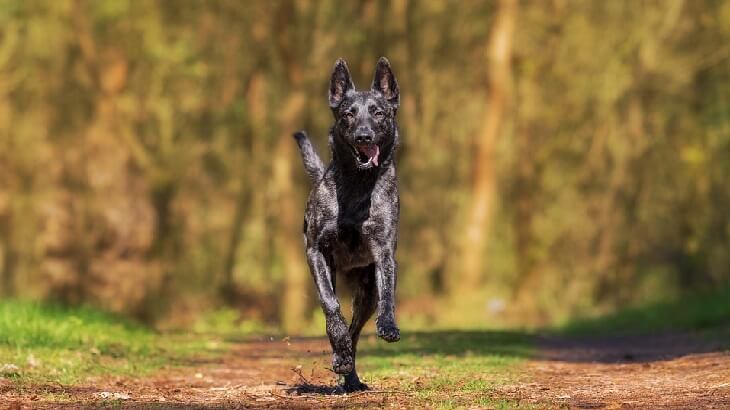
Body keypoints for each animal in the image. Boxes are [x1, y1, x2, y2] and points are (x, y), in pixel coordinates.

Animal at [292, 56, 400, 390]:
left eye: (378, 112)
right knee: (341, 324)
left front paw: (388, 325)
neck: (356, 184)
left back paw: (350, 375)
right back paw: (342, 358)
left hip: (366, 293)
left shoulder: (383, 252)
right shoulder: (316, 252)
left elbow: (388, 294)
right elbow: (331, 306)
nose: (364, 136)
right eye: (348, 114)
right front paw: (338, 348)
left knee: (356, 330)